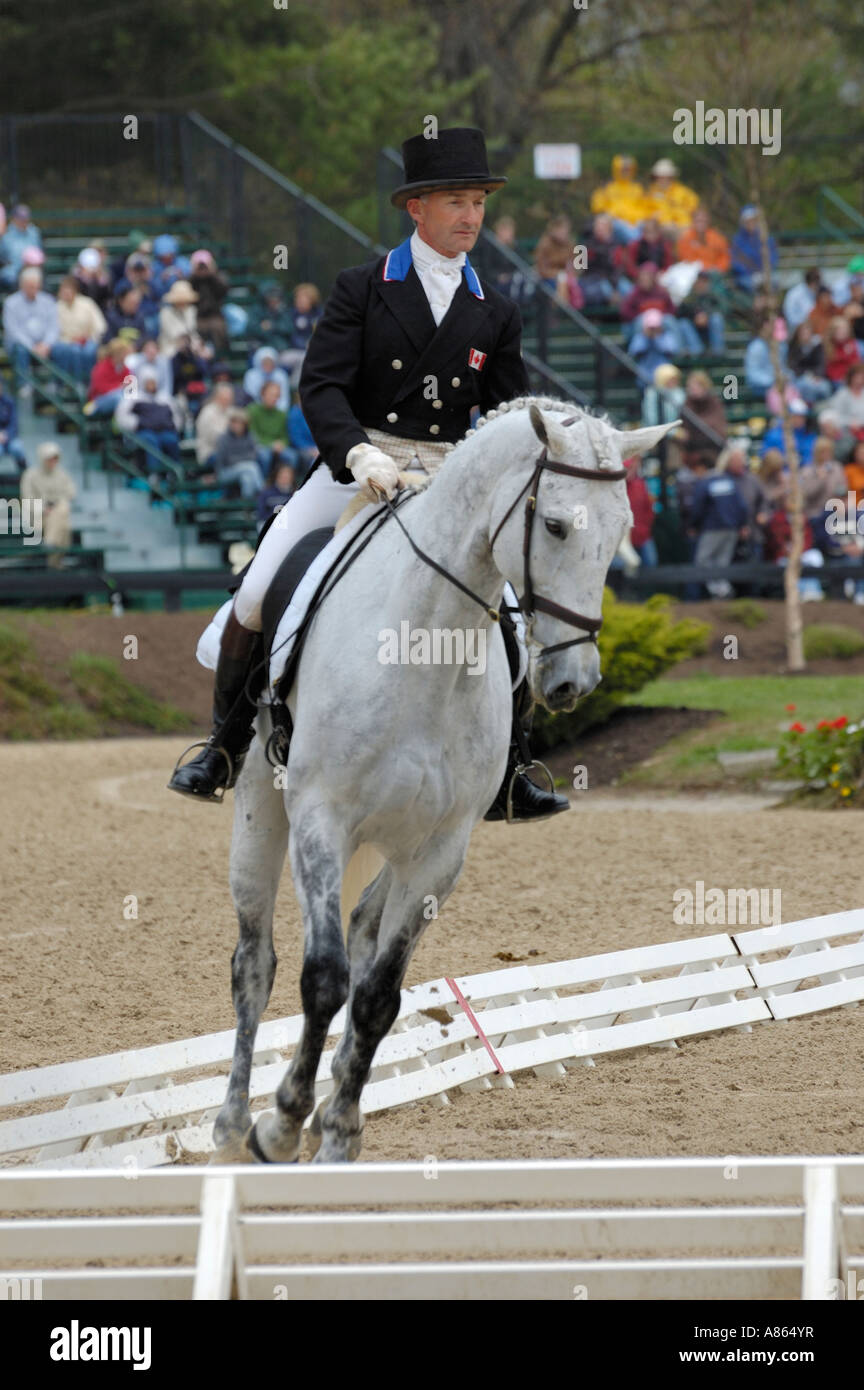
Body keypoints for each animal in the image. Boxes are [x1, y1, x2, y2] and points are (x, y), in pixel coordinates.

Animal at [211, 400, 677, 1162]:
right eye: (554, 524)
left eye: (620, 533)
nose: (574, 683)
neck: (424, 643)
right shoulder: (321, 818)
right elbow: (322, 978)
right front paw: (279, 1124)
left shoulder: (441, 848)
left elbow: (377, 995)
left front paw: (338, 1128)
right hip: (260, 816)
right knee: (255, 961)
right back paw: (228, 1128)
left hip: (397, 844)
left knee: (364, 932)